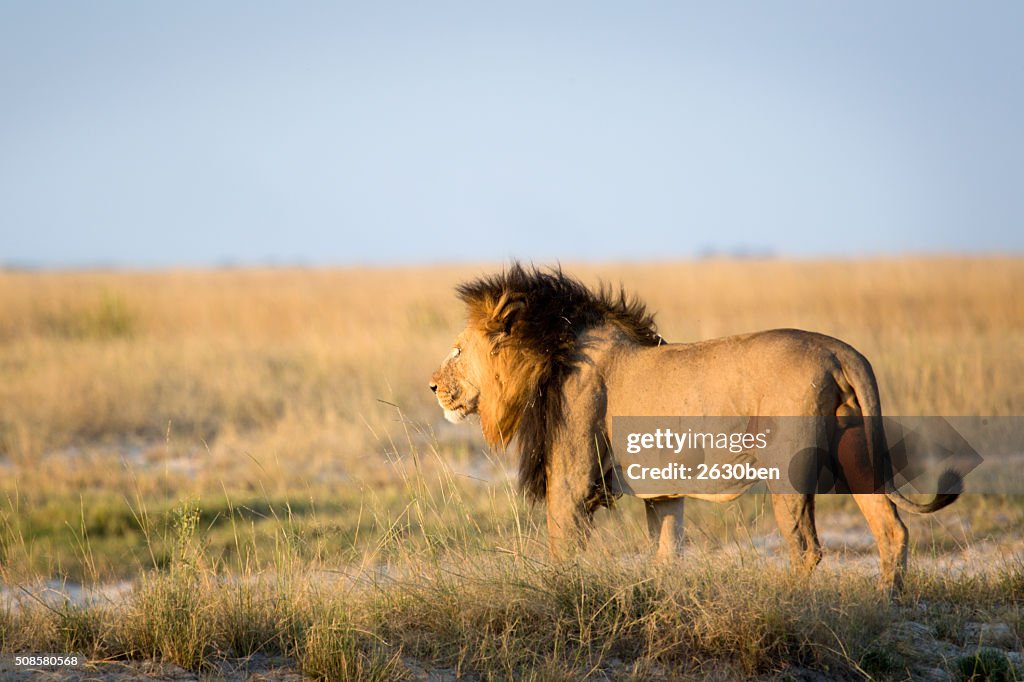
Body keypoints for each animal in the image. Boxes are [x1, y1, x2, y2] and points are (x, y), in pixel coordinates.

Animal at [430, 262, 958, 593]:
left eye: (457, 349)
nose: (432, 385)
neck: (550, 349)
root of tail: (838, 349)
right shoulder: (663, 493)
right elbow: (666, 557)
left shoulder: (572, 482)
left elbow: (563, 550)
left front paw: (557, 594)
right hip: (855, 451)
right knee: (892, 529)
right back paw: (885, 603)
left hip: (786, 471)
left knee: (807, 548)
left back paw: (790, 601)